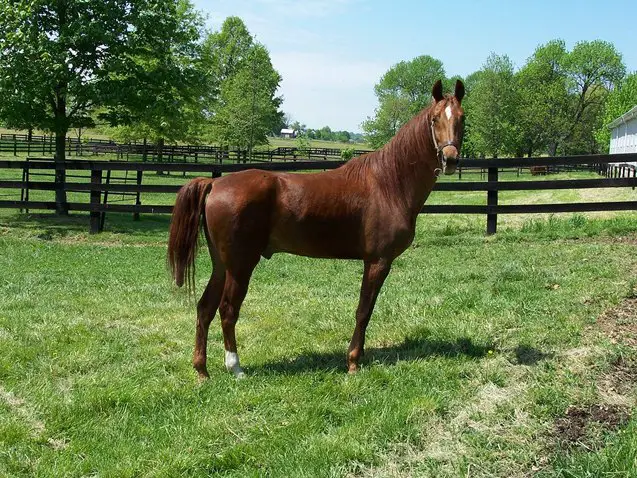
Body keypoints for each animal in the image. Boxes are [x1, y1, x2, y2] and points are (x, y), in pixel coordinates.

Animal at [166, 79, 464, 378]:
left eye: (462, 119)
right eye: (435, 118)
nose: (450, 159)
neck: (389, 183)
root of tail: (215, 183)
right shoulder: (378, 261)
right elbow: (363, 311)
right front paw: (353, 361)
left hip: (222, 264)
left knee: (205, 308)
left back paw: (202, 370)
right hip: (240, 266)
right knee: (228, 310)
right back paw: (235, 367)